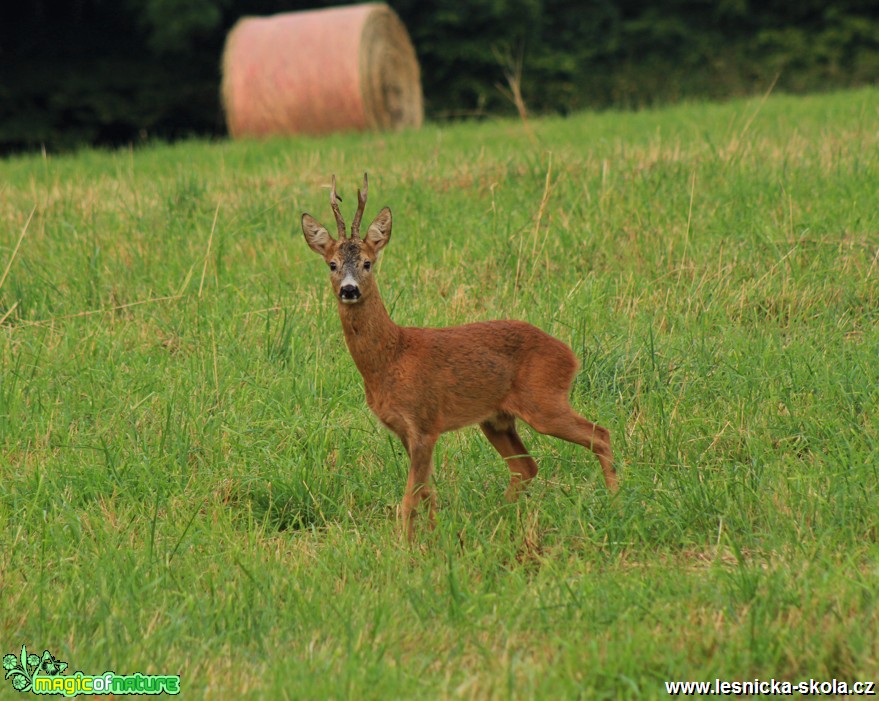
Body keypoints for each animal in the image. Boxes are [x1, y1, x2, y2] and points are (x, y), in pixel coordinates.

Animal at [302, 174, 620, 536]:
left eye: (368, 263)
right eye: (332, 264)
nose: (349, 289)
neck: (390, 357)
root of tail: (569, 354)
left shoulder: (425, 422)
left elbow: (410, 498)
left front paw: (405, 544)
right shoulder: (405, 431)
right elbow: (426, 491)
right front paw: (433, 534)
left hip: (544, 401)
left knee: (599, 435)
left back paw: (614, 502)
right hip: (496, 419)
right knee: (526, 466)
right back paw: (498, 518)